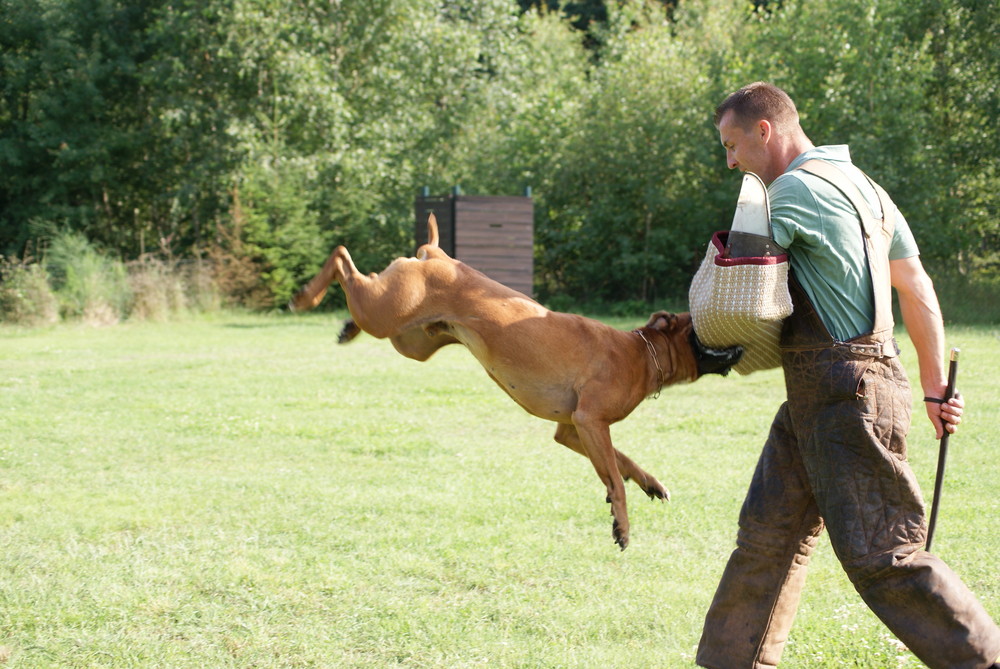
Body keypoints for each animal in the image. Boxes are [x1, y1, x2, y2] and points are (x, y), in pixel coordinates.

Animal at [286, 215, 740, 548]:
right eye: (702, 325)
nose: (743, 341)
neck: (641, 352)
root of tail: (436, 254)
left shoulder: (572, 430)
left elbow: (621, 463)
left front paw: (649, 484)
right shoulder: (591, 423)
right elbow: (613, 472)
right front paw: (623, 525)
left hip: (409, 339)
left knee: (356, 284)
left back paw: (344, 326)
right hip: (382, 311)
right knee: (342, 256)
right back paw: (306, 296)